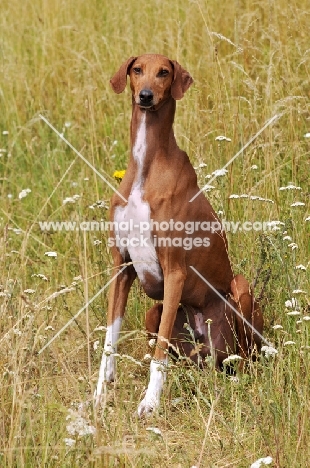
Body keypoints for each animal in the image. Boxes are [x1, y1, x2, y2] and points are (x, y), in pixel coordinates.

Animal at [94, 54, 262, 416]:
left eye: (164, 73)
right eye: (137, 70)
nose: (145, 96)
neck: (146, 165)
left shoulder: (174, 271)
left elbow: (158, 356)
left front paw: (149, 403)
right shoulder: (122, 267)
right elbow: (110, 339)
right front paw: (99, 394)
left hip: (240, 292)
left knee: (243, 358)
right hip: (154, 315)